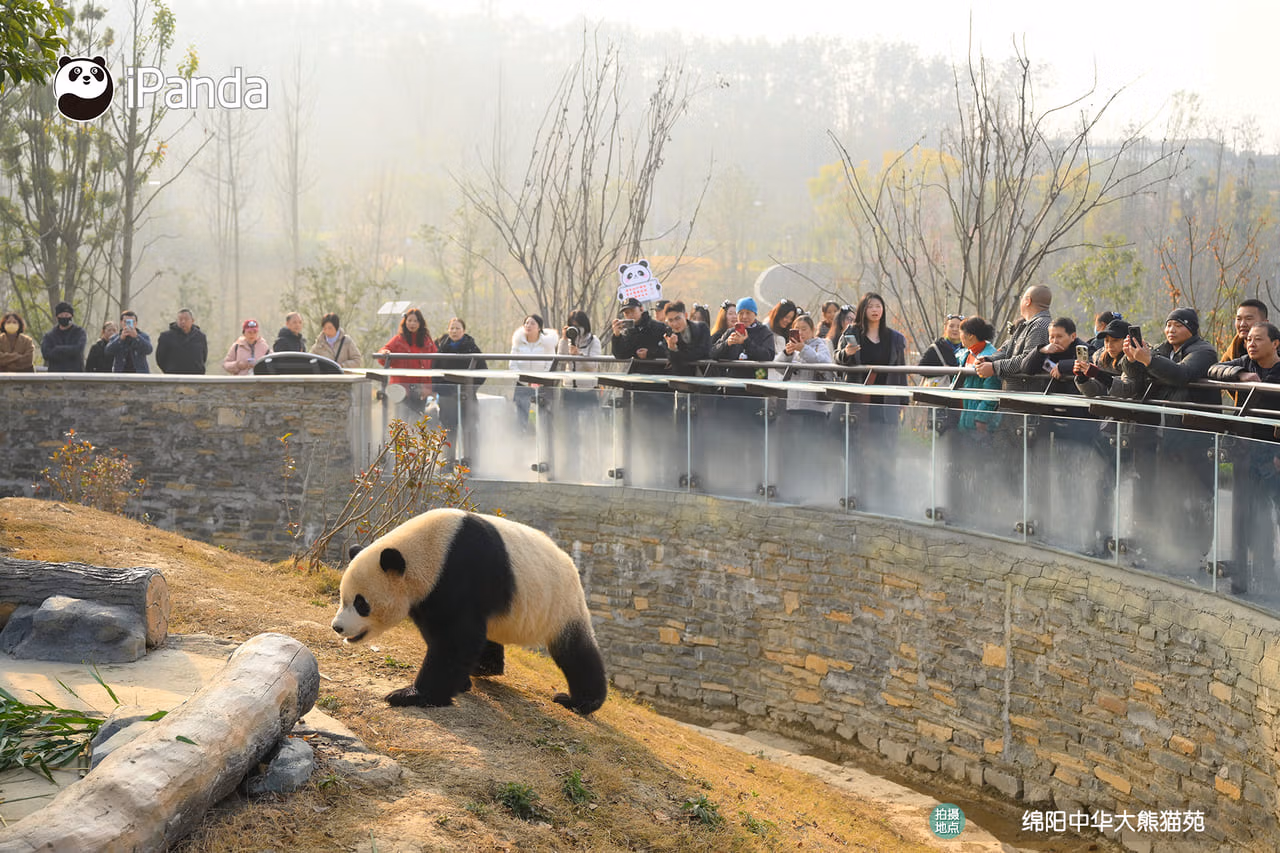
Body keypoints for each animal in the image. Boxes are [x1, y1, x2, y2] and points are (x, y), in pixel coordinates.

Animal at [331, 508, 607, 715]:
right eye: (343, 598)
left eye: (361, 603)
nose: (337, 627)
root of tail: (570, 562)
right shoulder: (429, 595)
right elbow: (447, 636)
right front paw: (459, 683)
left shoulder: (459, 574)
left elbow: (456, 638)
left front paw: (410, 695)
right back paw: (485, 667)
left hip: (560, 604)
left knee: (576, 652)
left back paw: (581, 702)